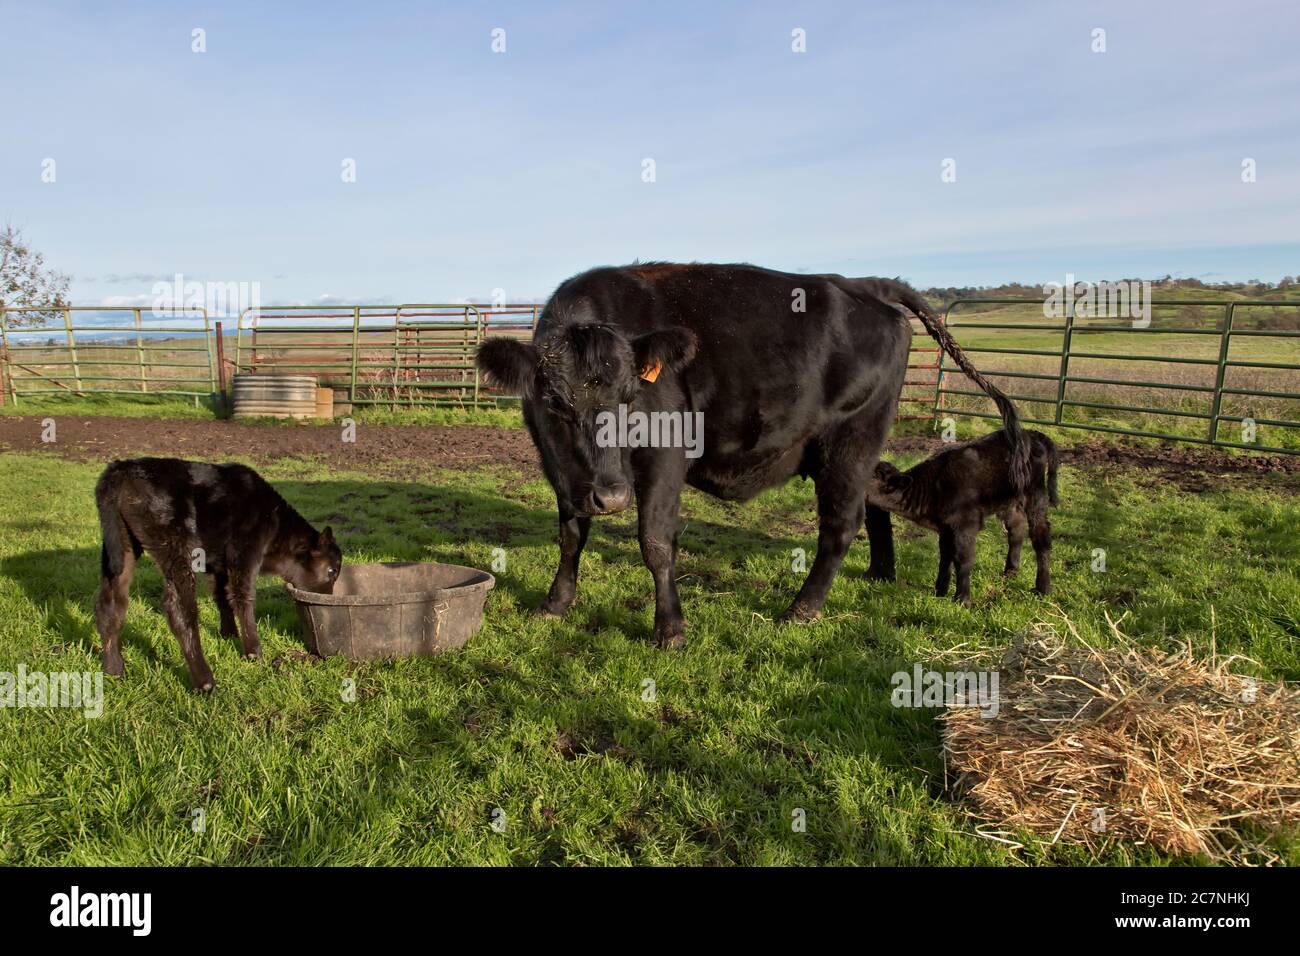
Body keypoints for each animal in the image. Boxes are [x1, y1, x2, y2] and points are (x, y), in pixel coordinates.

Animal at [94, 457, 342, 692]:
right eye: (331, 571)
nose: (328, 599)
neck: (273, 521)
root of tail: (121, 469)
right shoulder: (244, 554)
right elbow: (242, 598)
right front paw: (253, 653)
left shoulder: (218, 564)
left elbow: (222, 596)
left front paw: (229, 634)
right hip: (177, 550)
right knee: (181, 612)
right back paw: (205, 682)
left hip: (122, 548)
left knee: (111, 605)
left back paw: (114, 671)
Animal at [476, 262, 1026, 648]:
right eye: (554, 403)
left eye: (632, 396)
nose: (611, 497)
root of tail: (862, 284)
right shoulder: (563, 470)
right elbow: (571, 536)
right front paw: (556, 603)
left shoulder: (664, 458)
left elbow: (655, 542)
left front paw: (670, 628)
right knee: (874, 506)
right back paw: (879, 573)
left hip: (852, 438)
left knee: (840, 524)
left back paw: (803, 608)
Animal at [863, 429, 1059, 605]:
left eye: (872, 475)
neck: (932, 488)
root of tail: (1032, 433)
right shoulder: (945, 527)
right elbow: (945, 557)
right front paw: (940, 592)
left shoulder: (966, 524)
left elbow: (963, 559)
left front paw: (962, 599)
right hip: (1010, 501)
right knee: (1016, 529)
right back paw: (1011, 572)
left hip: (1035, 494)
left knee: (1040, 536)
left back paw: (1043, 588)